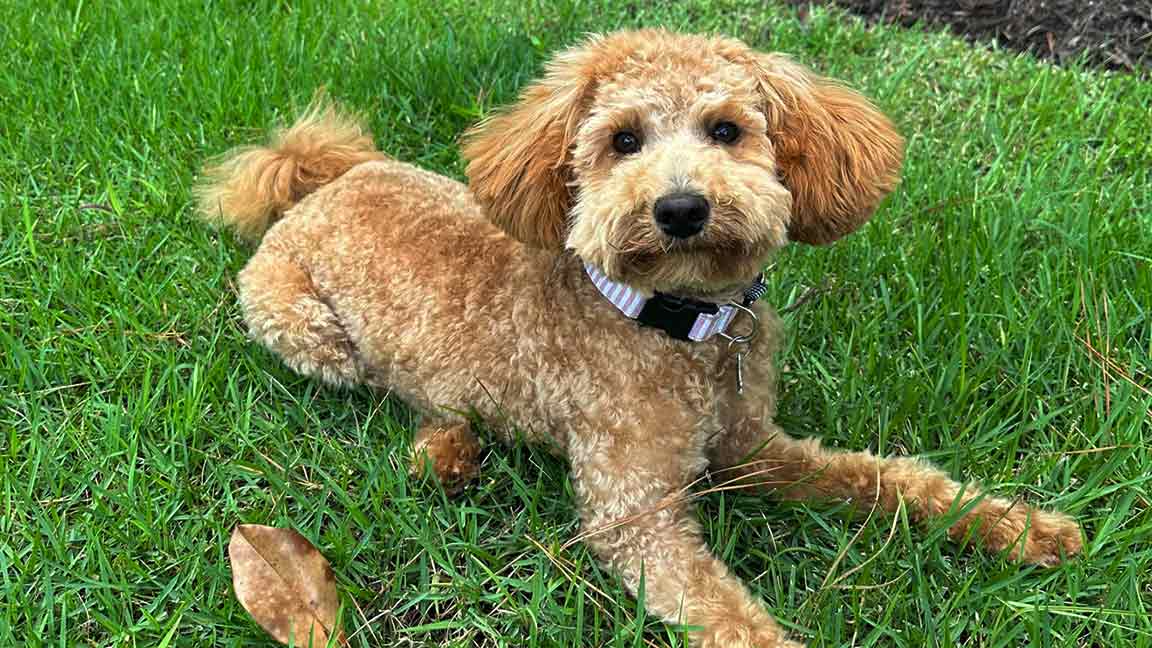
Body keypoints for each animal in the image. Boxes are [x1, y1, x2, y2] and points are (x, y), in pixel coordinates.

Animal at [195, 27, 1078, 641]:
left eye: (726, 130)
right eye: (623, 140)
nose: (681, 207)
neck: (680, 329)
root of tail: (322, 180)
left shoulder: (753, 451)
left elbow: (891, 480)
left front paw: (1018, 528)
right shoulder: (635, 514)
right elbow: (725, 613)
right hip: (305, 328)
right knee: (380, 388)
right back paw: (444, 448)